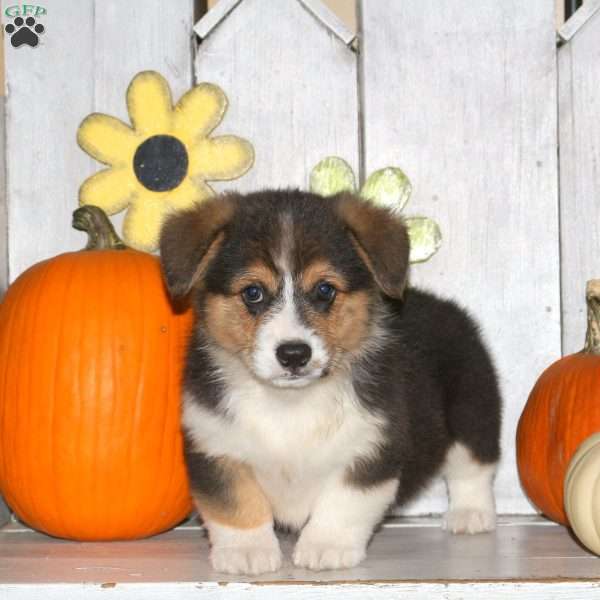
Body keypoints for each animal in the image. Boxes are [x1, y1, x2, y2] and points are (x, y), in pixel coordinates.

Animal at [159, 190, 502, 576]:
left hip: (473, 410)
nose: (294, 354)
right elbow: (235, 504)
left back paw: (470, 514)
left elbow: (343, 505)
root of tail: (447, 307)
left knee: (472, 468)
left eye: (325, 290)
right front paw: (246, 552)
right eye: (253, 292)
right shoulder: (216, 447)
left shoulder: (371, 449)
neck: (289, 403)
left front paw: (325, 548)